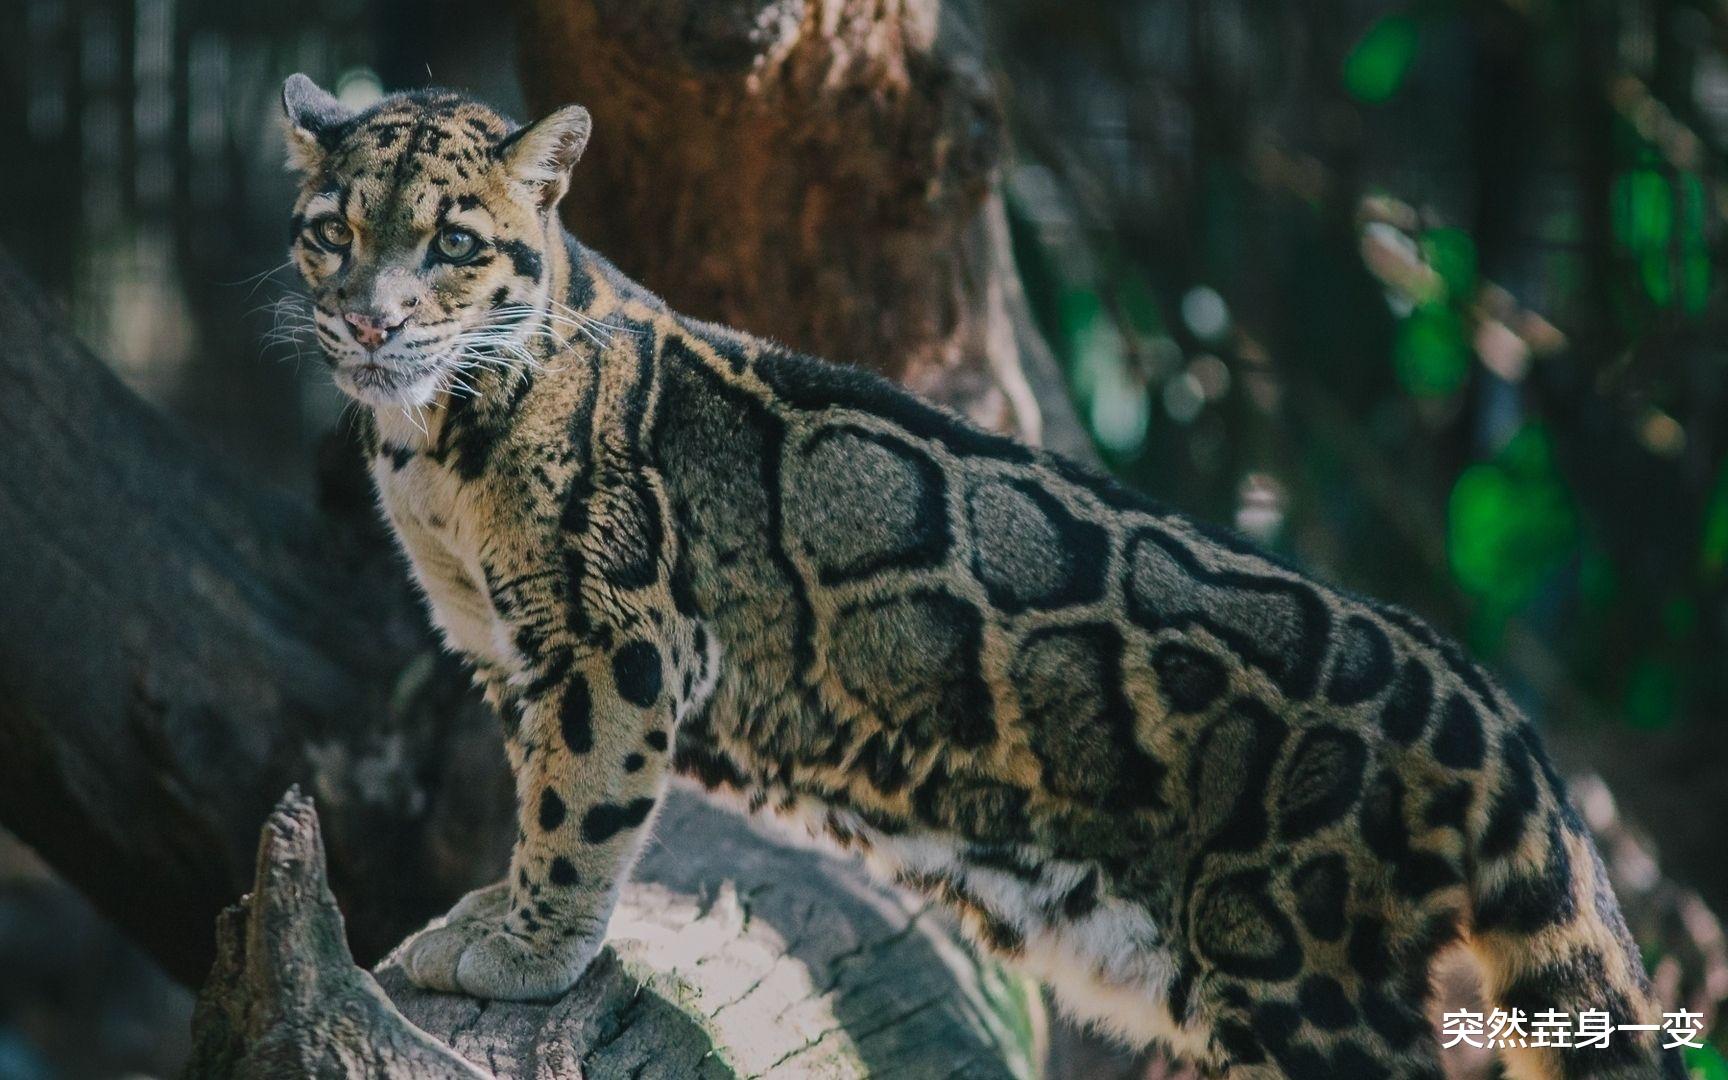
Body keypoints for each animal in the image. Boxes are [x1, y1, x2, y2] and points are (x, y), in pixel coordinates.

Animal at [276, 71, 1679, 1071]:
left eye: (455, 243)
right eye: (330, 231)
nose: (366, 321)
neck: (430, 446)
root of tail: (1480, 702)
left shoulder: (615, 637)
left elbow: (577, 810)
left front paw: (527, 949)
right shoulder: (503, 639)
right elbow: (535, 787)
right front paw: (492, 916)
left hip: (1300, 975)